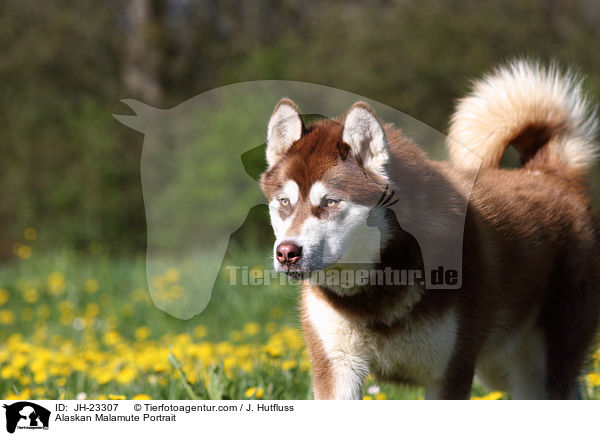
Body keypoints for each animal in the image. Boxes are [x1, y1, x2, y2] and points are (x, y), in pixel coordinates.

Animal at [258, 60, 600, 398]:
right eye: (285, 202)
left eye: (330, 201)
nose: (286, 253)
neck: (378, 290)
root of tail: (550, 172)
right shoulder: (337, 368)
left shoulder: (449, 372)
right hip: (502, 370)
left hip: (542, 360)